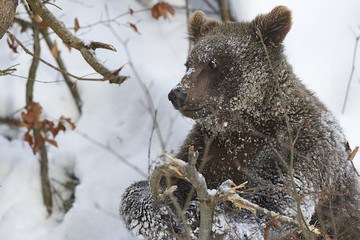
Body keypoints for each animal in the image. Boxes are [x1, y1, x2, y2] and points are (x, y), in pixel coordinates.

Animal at [121, 6, 360, 239]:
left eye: (213, 63)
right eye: (188, 63)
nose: (178, 94)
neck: (244, 128)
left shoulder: (300, 148)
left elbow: (272, 208)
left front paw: (207, 217)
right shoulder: (209, 148)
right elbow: (161, 185)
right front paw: (162, 210)